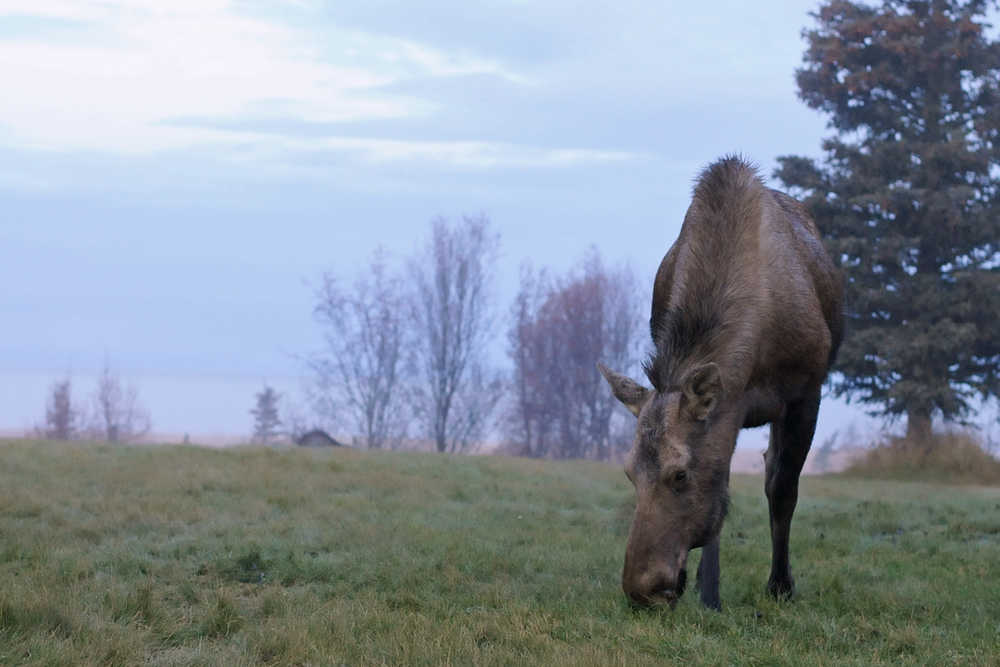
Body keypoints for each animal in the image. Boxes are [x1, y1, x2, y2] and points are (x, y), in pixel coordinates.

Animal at [600, 158, 844, 612]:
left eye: (679, 474)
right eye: (628, 472)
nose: (641, 588)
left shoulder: (806, 391)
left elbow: (782, 488)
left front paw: (780, 585)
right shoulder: (727, 408)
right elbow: (722, 491)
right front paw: (707, 588)